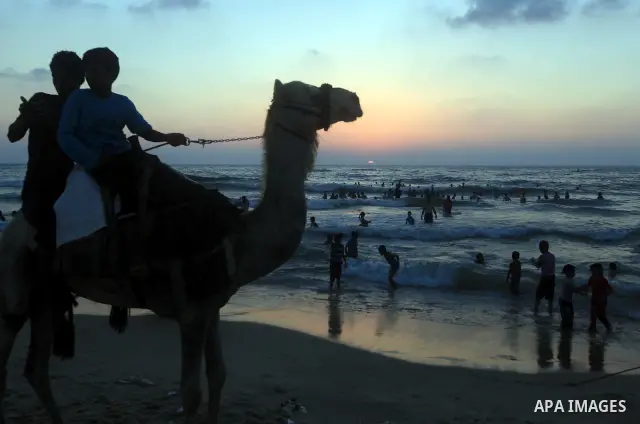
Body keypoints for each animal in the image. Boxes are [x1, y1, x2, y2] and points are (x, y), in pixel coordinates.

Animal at [0, 79, 363, 424]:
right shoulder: (189, 311)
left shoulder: (211, 307)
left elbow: (218, 375)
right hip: (20, 284)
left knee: (35, 369)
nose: (355, 100)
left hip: (47, 293)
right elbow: (190, 393)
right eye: (311, 93)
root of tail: (14, 228)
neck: (237, 237)